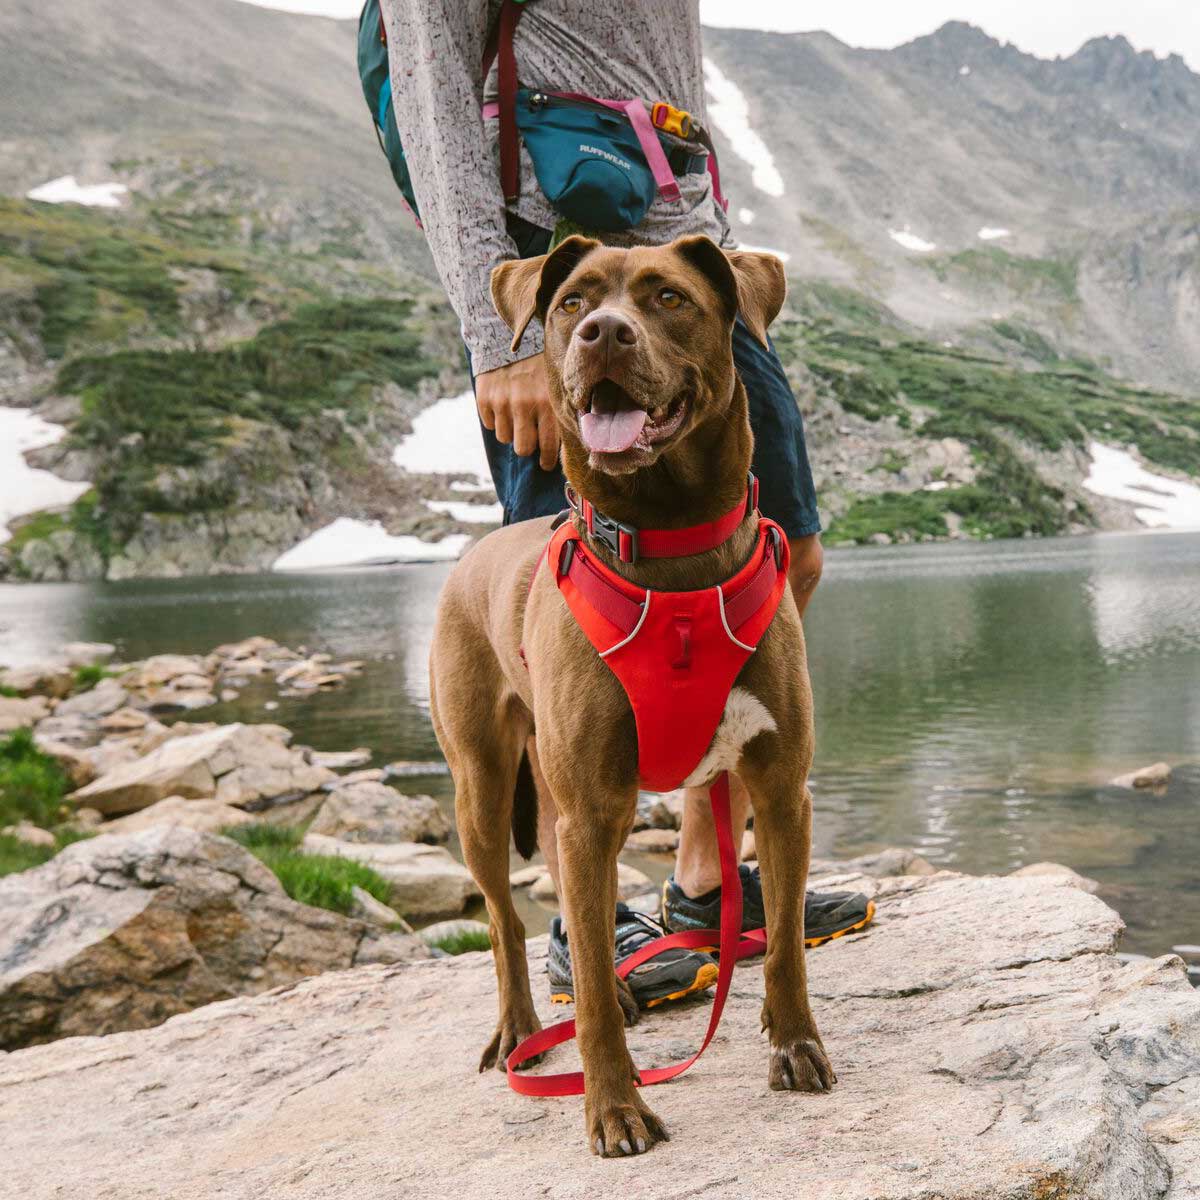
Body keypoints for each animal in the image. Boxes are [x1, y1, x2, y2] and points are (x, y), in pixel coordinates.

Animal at [432, 231, 835, 1152]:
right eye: (573, 302)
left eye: (669, 298)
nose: (604, 336)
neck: (672, 548)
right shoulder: (591, 812)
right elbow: (580, 971)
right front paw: (615, 1107)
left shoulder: (780, 786)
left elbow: (785, 942)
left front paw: (795, 1045)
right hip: (482, 786)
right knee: (507, 922)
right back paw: (521, 1030)